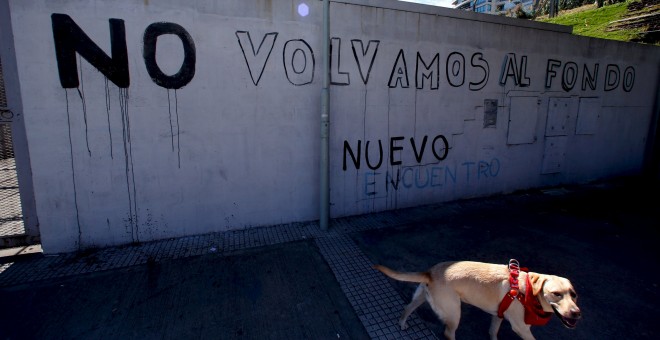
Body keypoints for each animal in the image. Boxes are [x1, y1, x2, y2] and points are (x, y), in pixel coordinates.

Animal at [376, 262, 584, 338]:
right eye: (556, 294)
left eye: (573, 294)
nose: (576, 313)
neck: (527, 290)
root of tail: (431, 272)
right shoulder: (521, 328)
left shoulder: (498, 316)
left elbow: (493, 332)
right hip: (454, 312)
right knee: (448, 333)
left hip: (421, 297)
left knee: (407, 308)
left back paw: (402, 323)